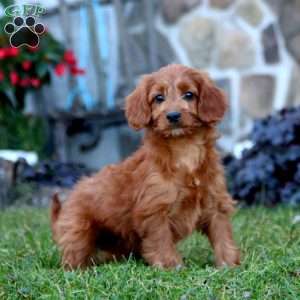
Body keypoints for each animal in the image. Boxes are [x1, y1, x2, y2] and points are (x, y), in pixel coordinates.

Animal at [50, 65, 240, 270]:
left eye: (189, 94)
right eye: (159, 98)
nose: (173, 116)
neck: (184, 150)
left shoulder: (216, 204)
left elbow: (222, 236)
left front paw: (229, 263)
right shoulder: (154, 209)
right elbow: (161, 239)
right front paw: (170, 265)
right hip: (79, 229)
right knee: (73, 255)